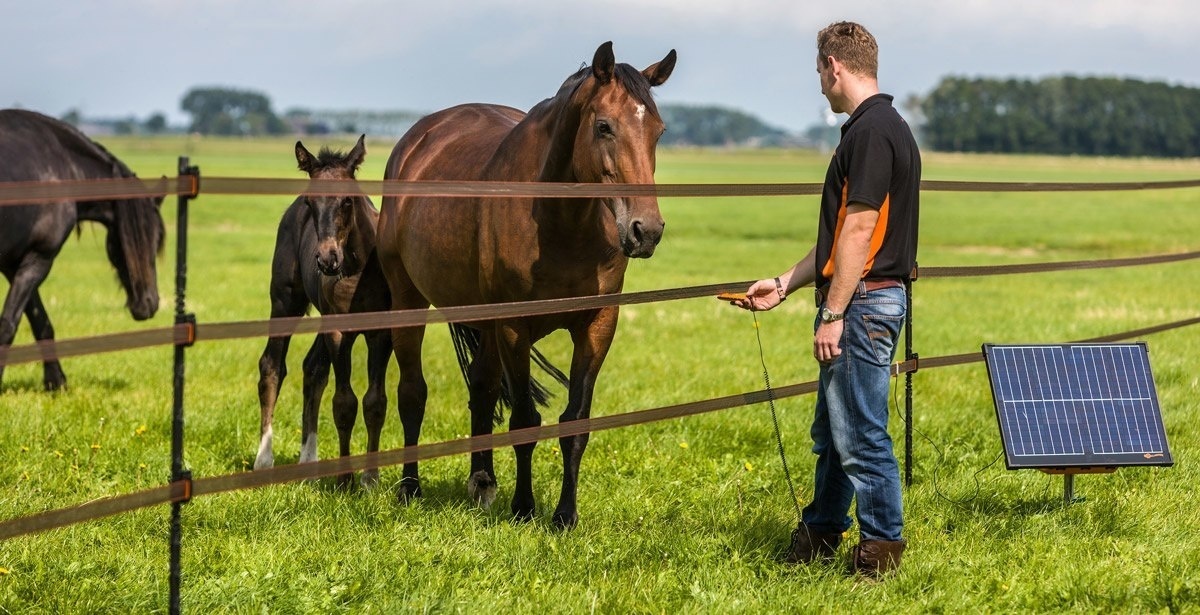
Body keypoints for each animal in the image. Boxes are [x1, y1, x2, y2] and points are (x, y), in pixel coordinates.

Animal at [0, 108, 164, 391]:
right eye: (138, 241)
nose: (149, 304)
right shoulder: (38, 260)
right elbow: (9, 325)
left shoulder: (15, 263)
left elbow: (40, 322)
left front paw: (56, 383)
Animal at [374, 40, 676, 526]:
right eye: (604, 127)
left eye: (659, 131)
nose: (645, 230)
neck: (562, 223)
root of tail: (416, 142)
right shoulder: (515, 327)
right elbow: (523, 421)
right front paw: (523, 508)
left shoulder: (597, 325)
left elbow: (574, 423)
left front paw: (564, 516)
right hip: (409, 300)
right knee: (412, 393)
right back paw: (409, 487)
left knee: (480, 389)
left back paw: (481, 482)